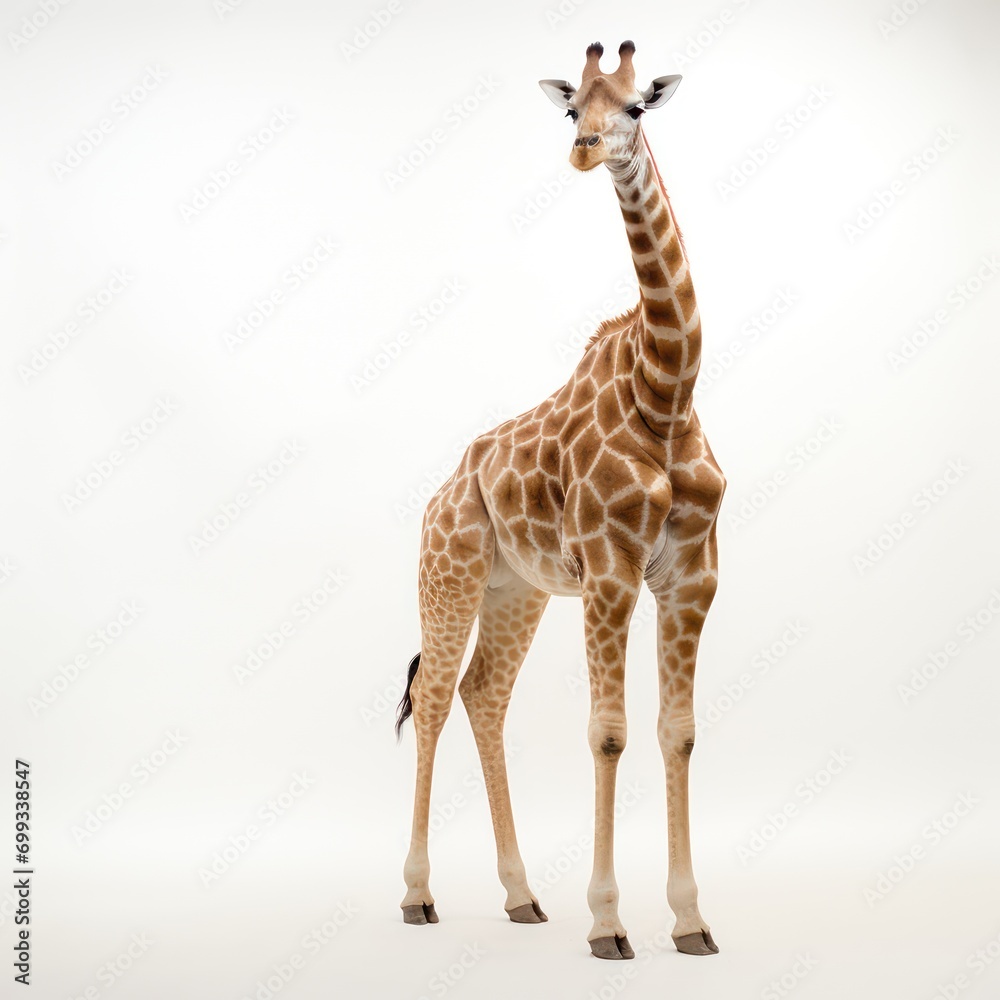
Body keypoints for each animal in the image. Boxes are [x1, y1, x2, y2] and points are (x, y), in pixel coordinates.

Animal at [396, 40, 726, 961]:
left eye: (636, 107)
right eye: (573, 104)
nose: (583, 149)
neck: (666, 393)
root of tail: (439, 496)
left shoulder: (691, 576)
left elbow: (679, 732)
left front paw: (691, 922)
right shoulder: (612, 572)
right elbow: (608, 733)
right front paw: (610, 925)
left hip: (519, 592)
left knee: (482, 695)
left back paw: (520, 897)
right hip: (449, 576)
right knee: (433, 699)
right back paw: (418, 896)